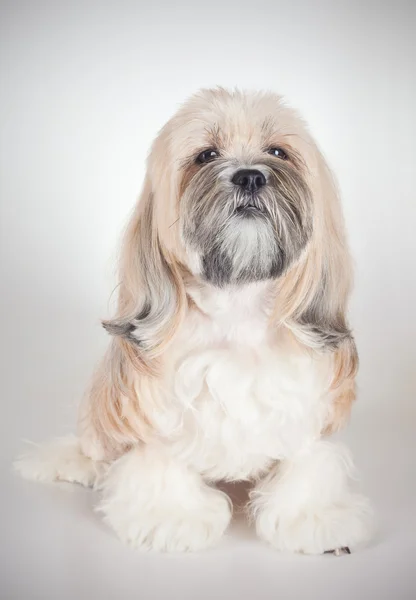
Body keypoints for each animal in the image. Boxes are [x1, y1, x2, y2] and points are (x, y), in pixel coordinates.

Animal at [15, 88, 374, 552]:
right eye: (206, 155)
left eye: (278, 151)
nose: (250, 176)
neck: (237, 307)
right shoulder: (157, 410)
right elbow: (161, 463)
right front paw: (171, 517)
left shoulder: (307, 405)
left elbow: (308, 462)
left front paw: (312, 516)